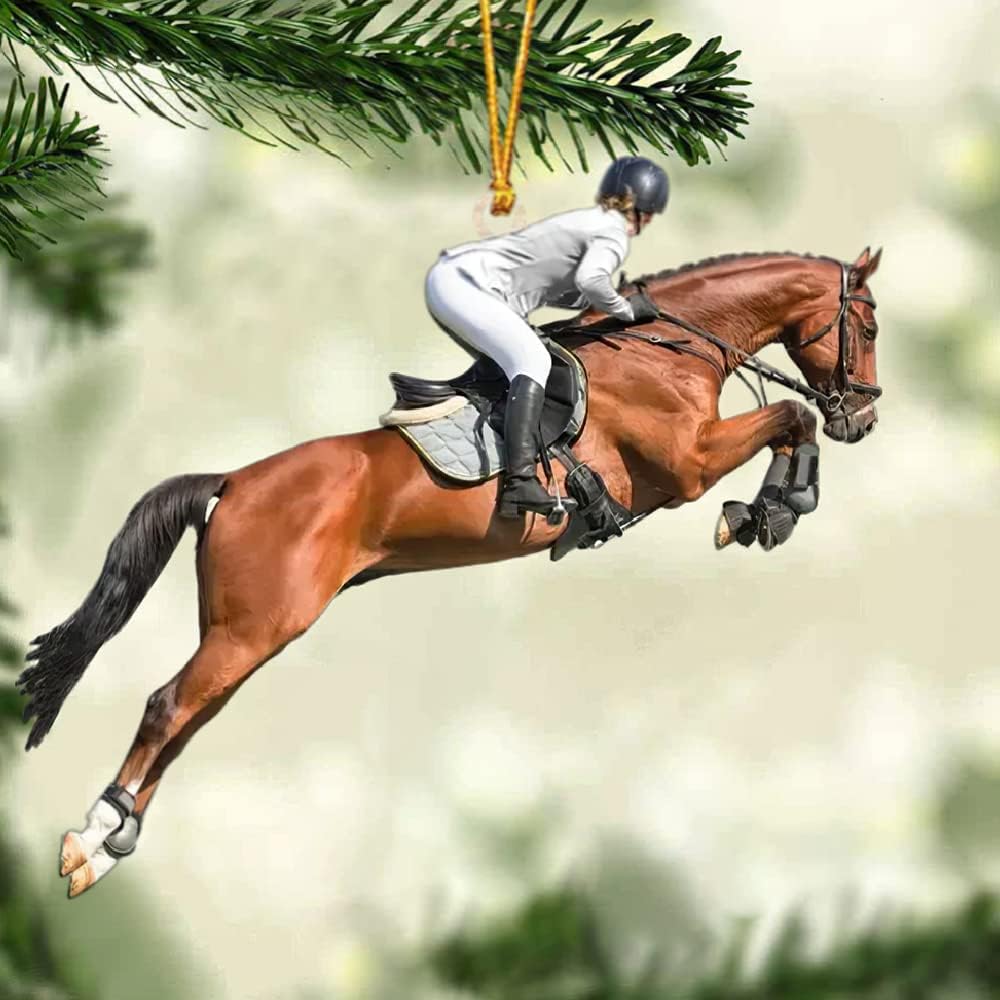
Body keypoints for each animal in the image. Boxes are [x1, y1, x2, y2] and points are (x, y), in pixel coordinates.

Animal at [16, 246, 883, 897]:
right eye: (868, 323)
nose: (866, 418)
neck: (669, 349)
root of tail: (232, 480)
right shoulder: (689, 464)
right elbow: (790, 416)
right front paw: (770, 508)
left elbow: (791, 422)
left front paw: (768, 511)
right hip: (254, 627)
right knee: (168, 707)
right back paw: (90, 838)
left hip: (250, 632)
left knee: (190, 718)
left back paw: (112, 844)